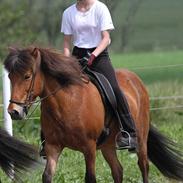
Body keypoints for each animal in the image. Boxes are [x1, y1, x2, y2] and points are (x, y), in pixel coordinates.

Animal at [3, 46, 183, 182]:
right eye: (10, 76)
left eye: (27, 76)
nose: (14, 111)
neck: (67, 104)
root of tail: (136, 80)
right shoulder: (53, 146)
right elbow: (47, 176)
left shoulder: (89, 148)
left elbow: (90, 178)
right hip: (108, 145)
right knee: (118, 170)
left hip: (141, 139)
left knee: (143, 165)